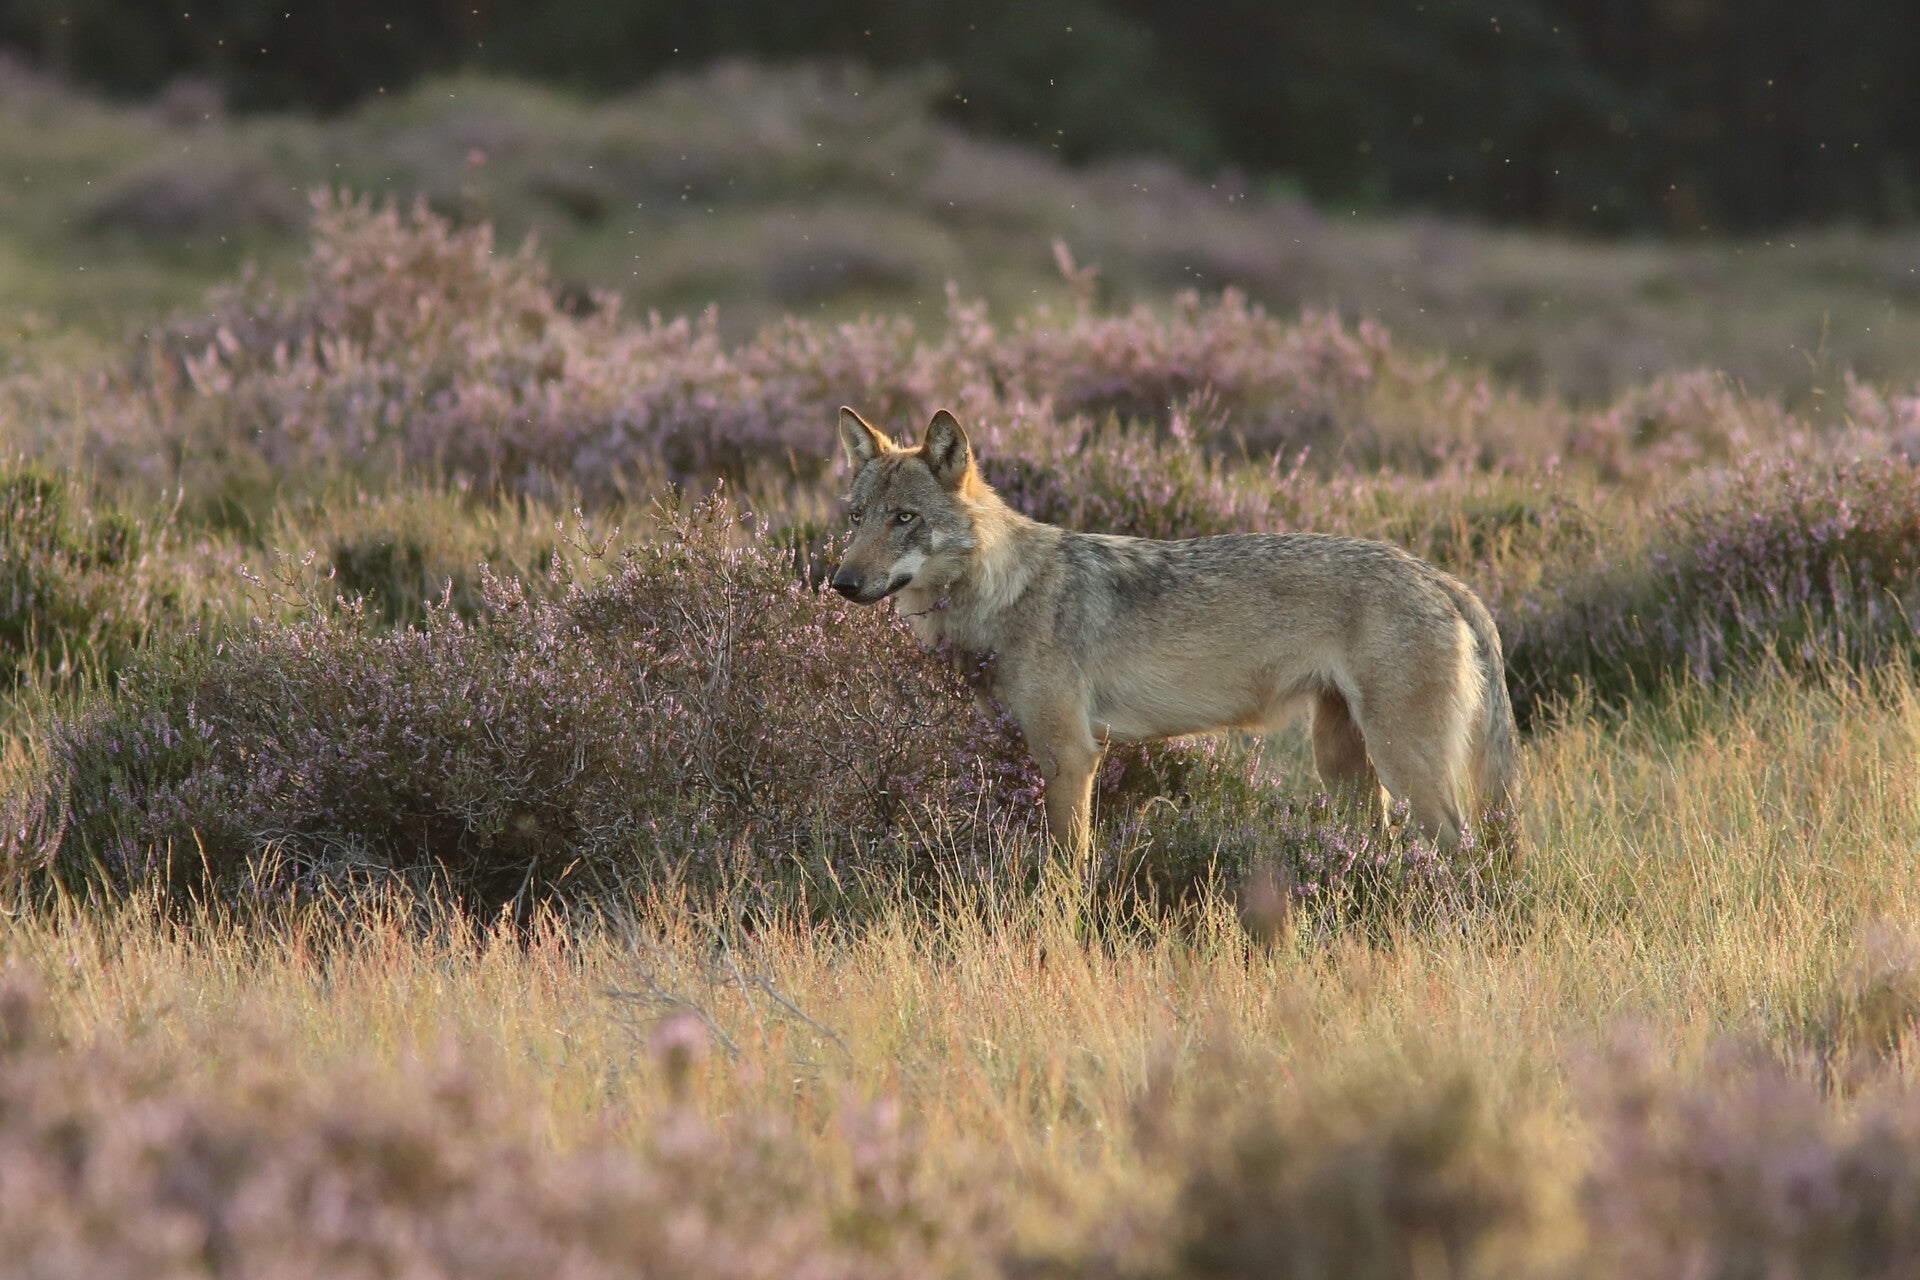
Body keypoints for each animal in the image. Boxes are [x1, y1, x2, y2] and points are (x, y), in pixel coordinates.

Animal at [829, 406, 1517, 860]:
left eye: (905, 519)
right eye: (858, 518)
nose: (840, 582)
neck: (1004, 590)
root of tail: (1441, 578)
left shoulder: (1071, 756)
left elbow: (1065, 870)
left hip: (1406, 768)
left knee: (1466, 849)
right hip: (1344, 767)